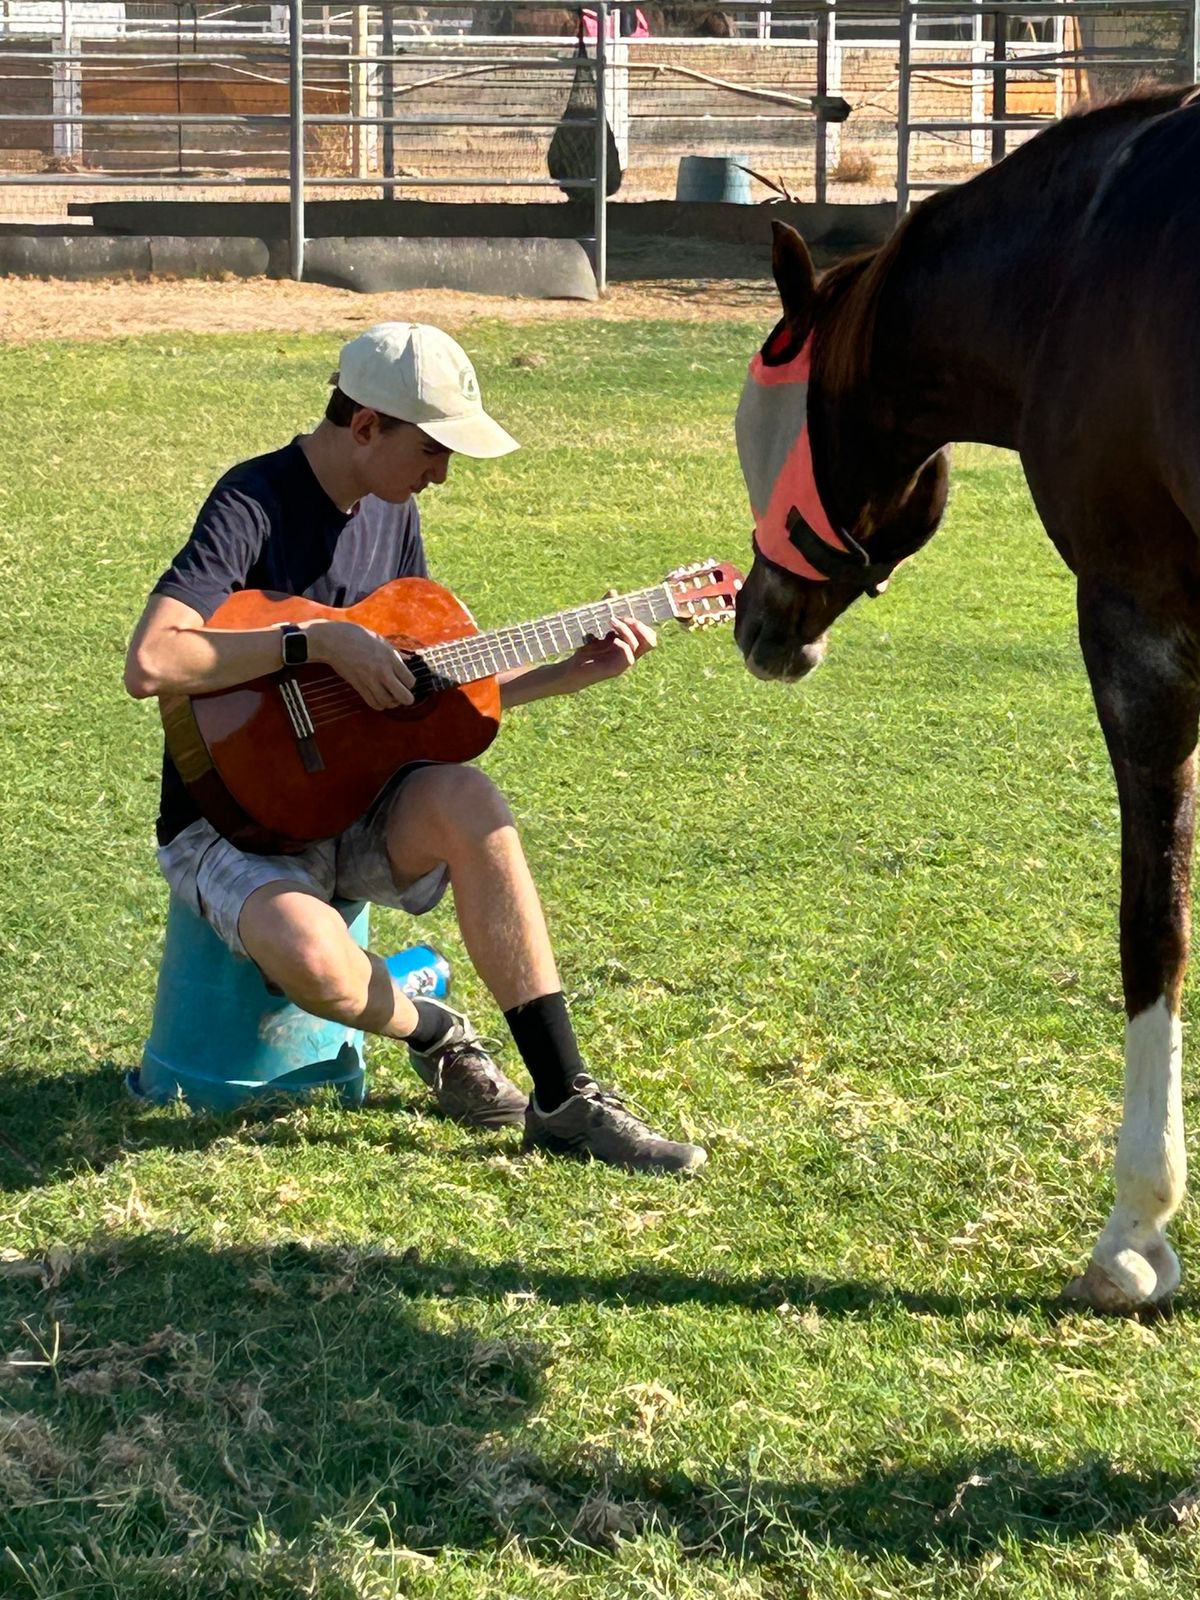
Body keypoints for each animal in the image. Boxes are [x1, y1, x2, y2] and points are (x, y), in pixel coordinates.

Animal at [732, 87, 1200, 1312]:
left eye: (765, 447)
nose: (755, 622)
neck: (1084, 261)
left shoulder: (1138, 630)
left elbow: (1155, 924)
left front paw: (1134, 1229)